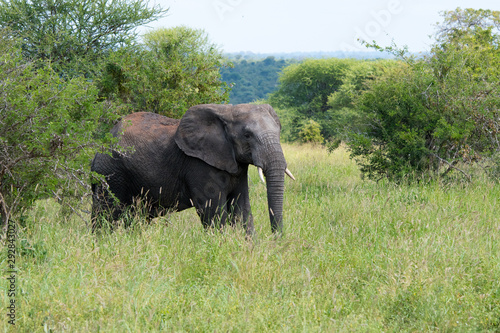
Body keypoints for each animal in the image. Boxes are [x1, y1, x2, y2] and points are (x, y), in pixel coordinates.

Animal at [90, 103, 294, 233]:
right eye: (247, 135)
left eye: (279, 132)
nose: (277, 240)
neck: (228, 111)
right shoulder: (199, 165)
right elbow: (213, 213)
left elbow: (242, 209)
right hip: (110, 173)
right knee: (105, 214)